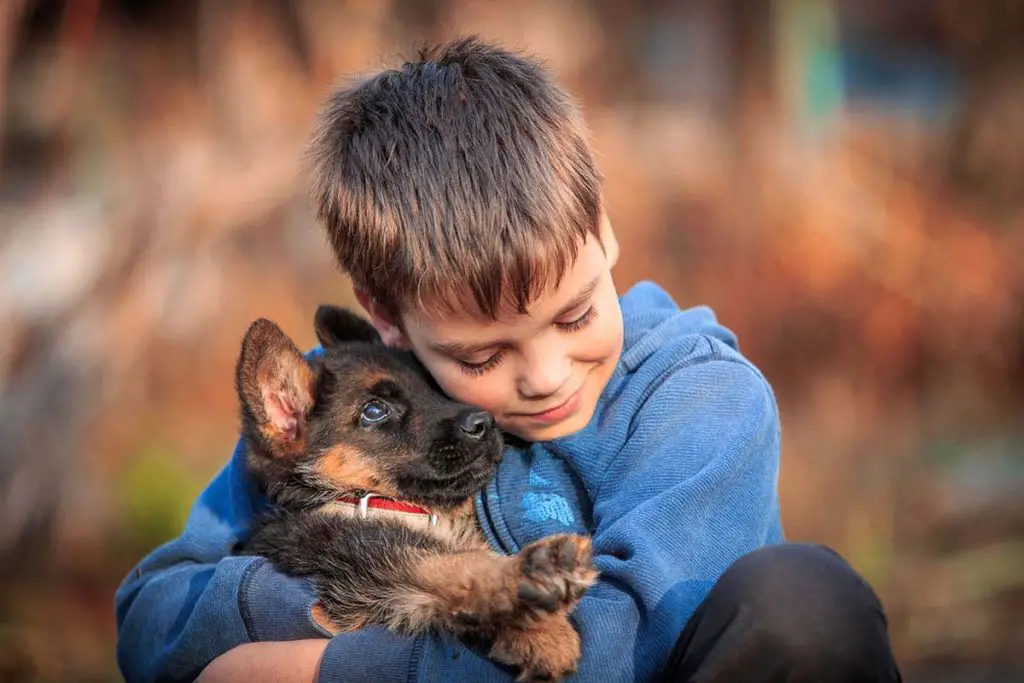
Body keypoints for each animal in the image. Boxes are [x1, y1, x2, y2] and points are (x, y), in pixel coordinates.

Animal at [232, 307, 598, 679]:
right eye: (374, 411)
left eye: (433, 386)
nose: (484, 422)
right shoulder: (362, 558)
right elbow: (452, 562)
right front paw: (539, 581)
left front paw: (537, 630)